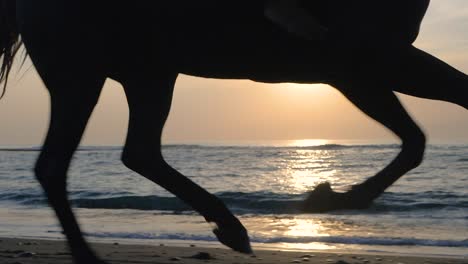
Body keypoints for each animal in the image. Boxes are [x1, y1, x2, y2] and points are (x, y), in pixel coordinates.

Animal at [1, 0, 466, 262]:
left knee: (138, 152)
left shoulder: (363, 66)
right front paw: (335, 197)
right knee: (57, 164)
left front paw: (333, 196)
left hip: (149, 72)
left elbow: (418, 138)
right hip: (81, 75)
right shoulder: (363, 58)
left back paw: (229, 226)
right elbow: (437, 119)